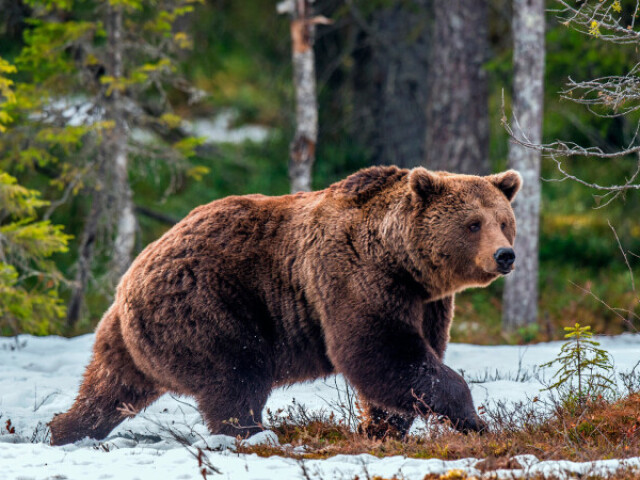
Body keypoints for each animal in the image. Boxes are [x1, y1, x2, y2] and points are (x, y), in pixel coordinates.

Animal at [48, 167, 520, 444]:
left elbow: (410, 362)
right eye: (473, 223)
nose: (505, 255)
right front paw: (474, 419)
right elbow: (381, 353)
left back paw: (64, 429)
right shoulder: (355, 279)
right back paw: (253, 434)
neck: (402, 261)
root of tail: (132, 273)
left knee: (109, 387)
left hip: (128, 336)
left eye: (504, 221)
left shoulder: (427, 302)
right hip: (209, 306)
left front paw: (381, 428)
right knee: (237, 375)